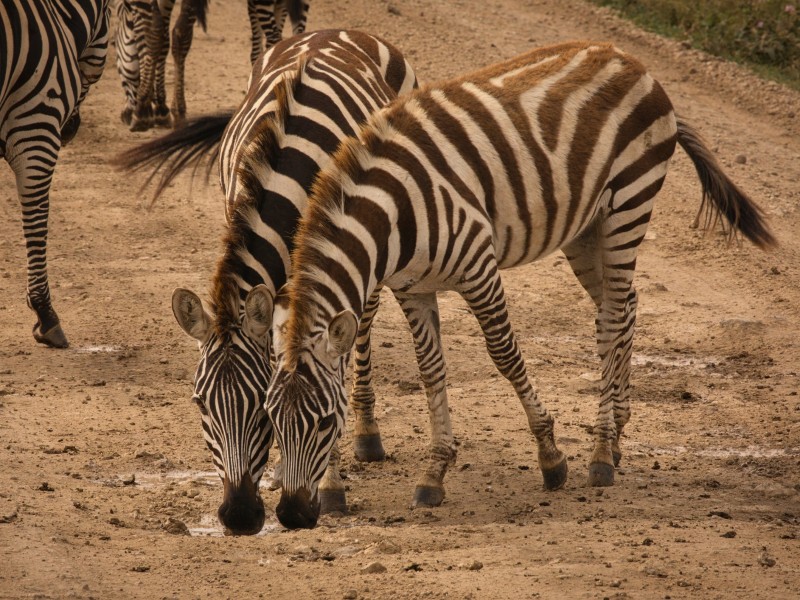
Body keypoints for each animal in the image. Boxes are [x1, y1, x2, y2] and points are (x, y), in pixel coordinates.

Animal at [114, 30, 417, 535]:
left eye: (259, 406)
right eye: (200, 405)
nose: (238, 517)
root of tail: (340, 29)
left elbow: (323, 370)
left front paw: (329, 486)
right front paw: (283, 471)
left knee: (362, 326)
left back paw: (367, 433)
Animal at [262, 41, 776, 529]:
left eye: (327, 421)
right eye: (269, 421)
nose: (292, 514)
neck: (392, 215)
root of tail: (632, 61)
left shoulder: (479, 268)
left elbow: (504, 354)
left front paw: (551, 457)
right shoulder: (413, 287)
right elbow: (431, 370)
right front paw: (435, 472)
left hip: (629, 204)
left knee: (612, 318)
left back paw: (601, 454)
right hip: (586, 228)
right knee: (624, 307)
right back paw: (618, 429)